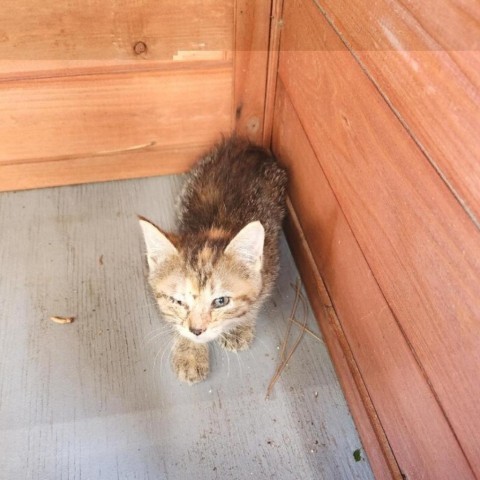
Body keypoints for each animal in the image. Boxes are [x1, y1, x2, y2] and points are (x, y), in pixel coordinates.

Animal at [141, 137, 286, 384]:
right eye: (178, 301)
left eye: (221, 301)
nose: (197, 331)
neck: (216, 227)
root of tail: (246, 144)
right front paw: (190, 353)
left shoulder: (270, 265)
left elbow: (255, 301)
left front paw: (239, 327)